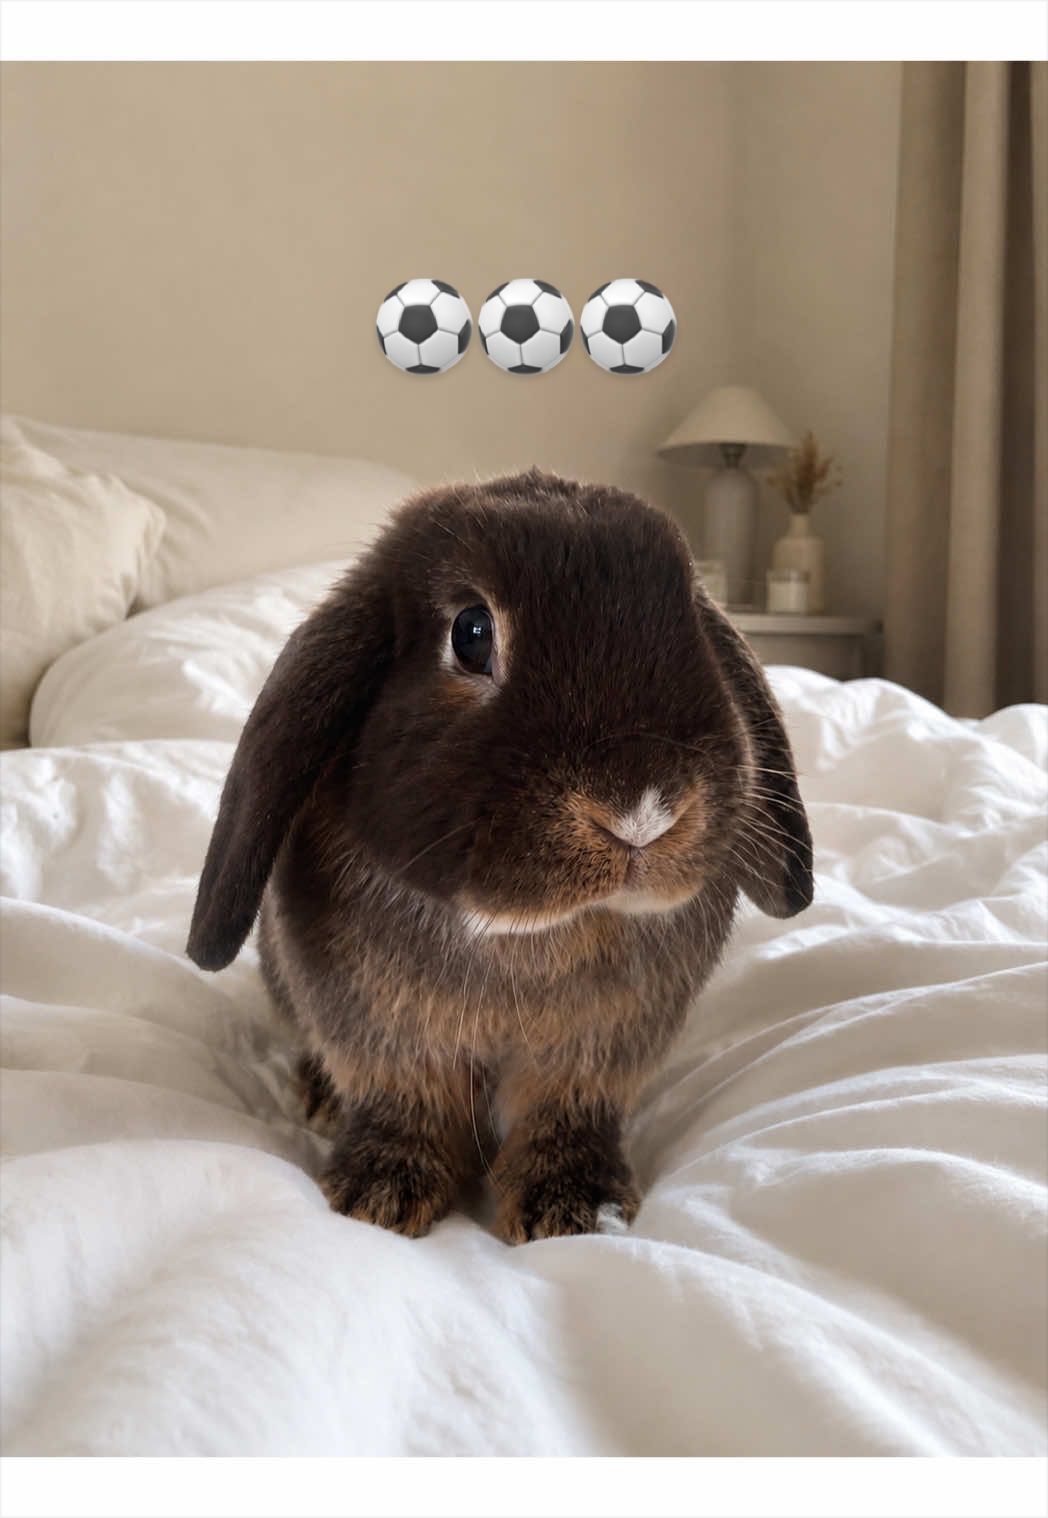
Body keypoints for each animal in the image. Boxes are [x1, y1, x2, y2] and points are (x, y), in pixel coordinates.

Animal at [187, 469, 812, 1242]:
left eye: (691, 621)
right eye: (471, 633)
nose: (642, 813)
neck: (527, 937)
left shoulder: (596, 1056)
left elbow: (564, 1114)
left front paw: (575, 1209)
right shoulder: (382, 1035)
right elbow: (403, 1102)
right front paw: (380, 1195)